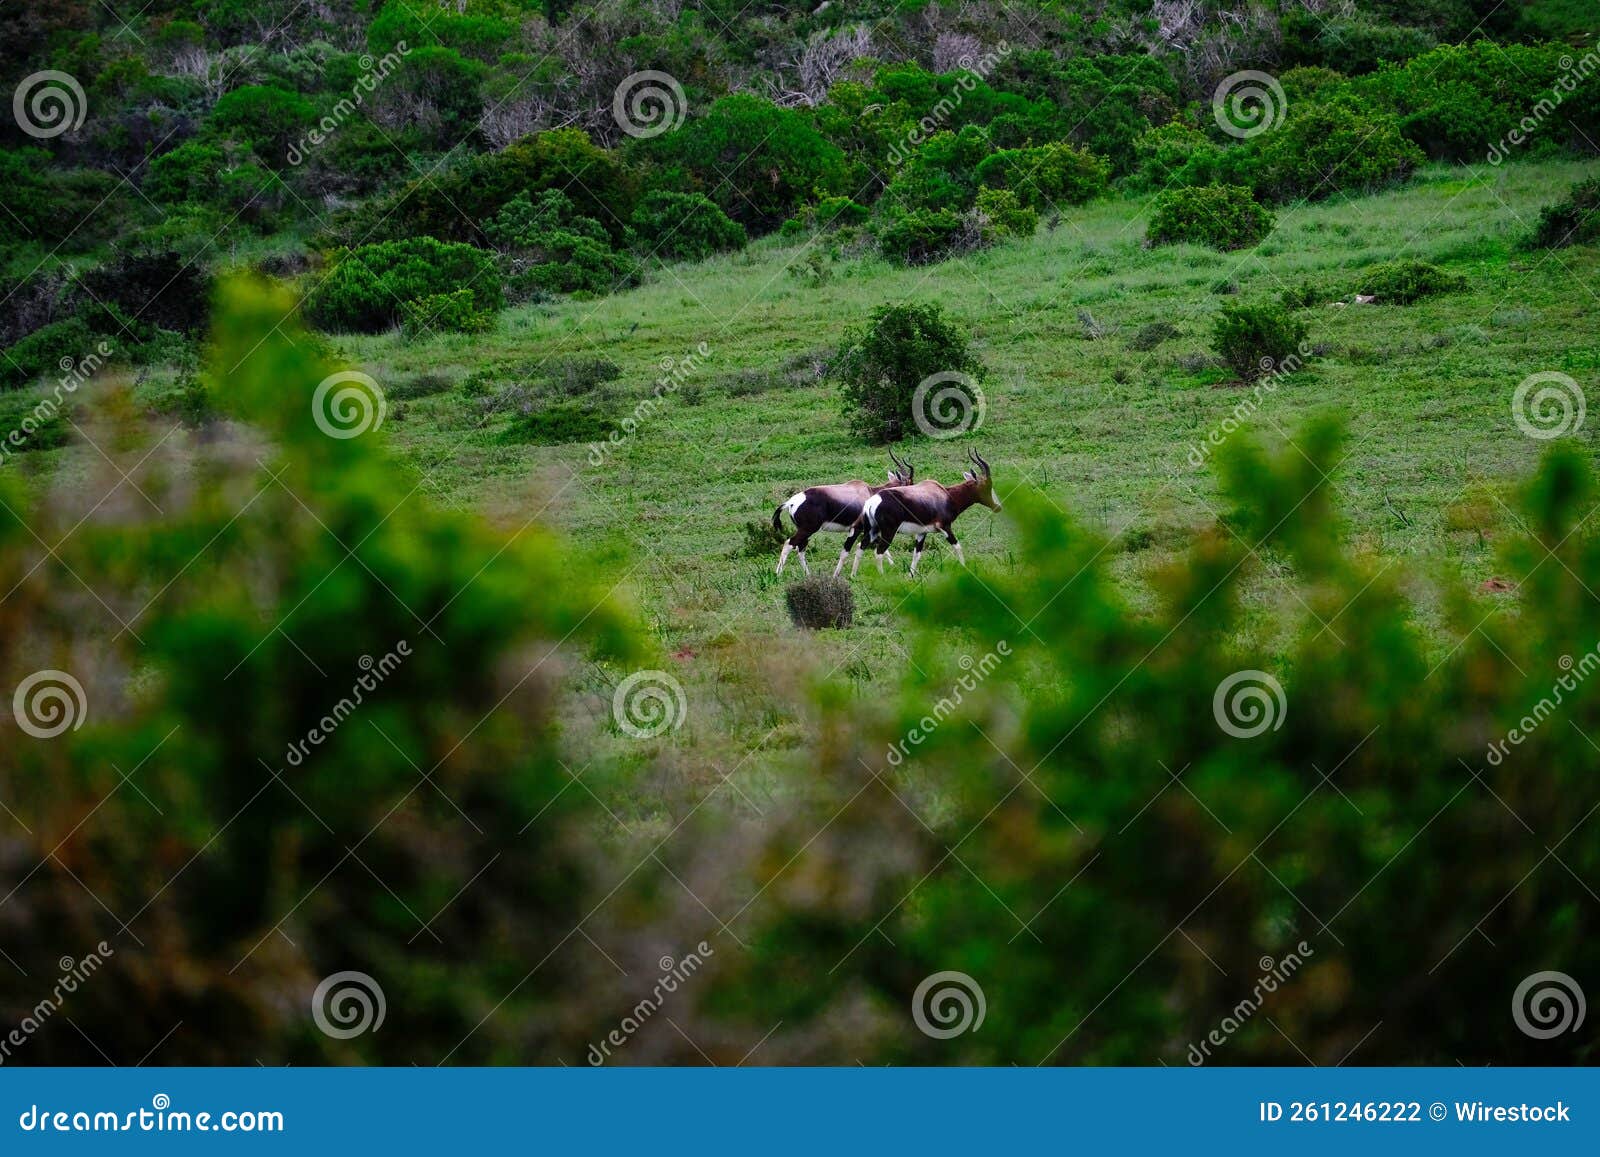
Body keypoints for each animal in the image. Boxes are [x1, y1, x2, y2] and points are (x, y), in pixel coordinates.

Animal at [774, 449, 914, 577]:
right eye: (910, 483)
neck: (869, 491)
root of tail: (791, 502)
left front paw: (892, 565)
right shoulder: (857, 528)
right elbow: (846, 551)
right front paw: (837, 575)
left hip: (806, 530)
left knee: (800, 549)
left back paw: (808, 575)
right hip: (807, 529)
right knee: (789, 544)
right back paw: (778, 575)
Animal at [854, 449, 1001, 576]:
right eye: (987, 486)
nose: (998, 507)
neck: (945, 494)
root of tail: (873, 501)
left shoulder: (922, 532)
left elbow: (917, 554)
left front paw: (911, 576)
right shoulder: (945, 527)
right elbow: (958, 547)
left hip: (872, 530)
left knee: (860, 546)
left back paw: (853, 575)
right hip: (888, 532)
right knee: (878, 552)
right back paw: (882, 577)